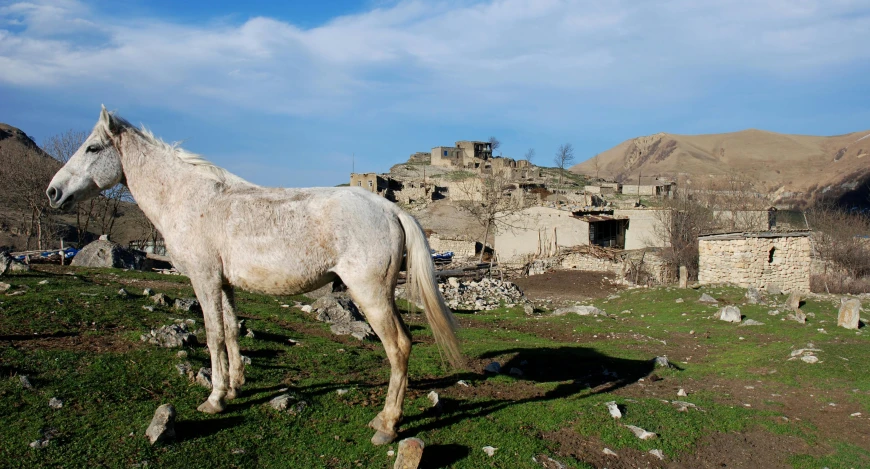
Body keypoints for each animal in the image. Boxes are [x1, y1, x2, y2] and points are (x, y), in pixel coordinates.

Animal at [49, 105, 464, 442]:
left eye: (92, 148)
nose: (54, 192)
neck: (189, 198)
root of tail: (392, 209)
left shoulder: (204, 279)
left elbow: (213, 335)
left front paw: (214, 398)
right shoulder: (224, 284)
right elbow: (232, 331)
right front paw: (234, 388)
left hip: (369, 294)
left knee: (398, 347)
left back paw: (388, 426)